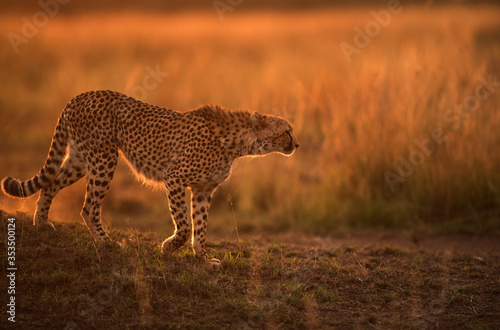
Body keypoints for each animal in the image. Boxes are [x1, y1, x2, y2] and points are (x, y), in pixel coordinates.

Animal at [1, 90, 298, 268]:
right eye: (287, 131)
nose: (297, 144)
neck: (238, 143)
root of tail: (81, 95)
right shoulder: (174, 177)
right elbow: (185, 225)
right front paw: (168, 247)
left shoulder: (203, 189)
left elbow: (201, 226)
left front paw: (202, 258)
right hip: (104, 158)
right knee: (88, 207)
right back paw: (106, 243)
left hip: (80, 159)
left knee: (50, 183)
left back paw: (41, 223)